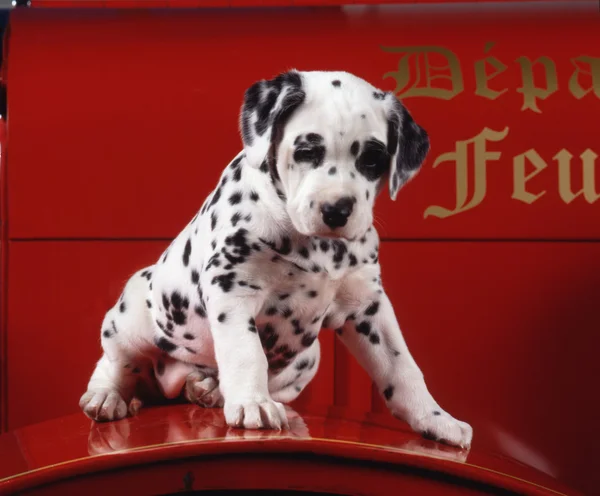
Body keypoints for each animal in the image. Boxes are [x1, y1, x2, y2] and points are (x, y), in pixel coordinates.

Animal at [79, 70, 474, 450]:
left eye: (372, 160)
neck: (318, 248)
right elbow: (246, 352)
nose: (336, 209)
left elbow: (402, 367)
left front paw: (436, 419)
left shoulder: (368, 307)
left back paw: (207, 389)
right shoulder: (232, 289)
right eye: (307, 151)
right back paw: (108, 396)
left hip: (309, 357)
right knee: (115, 363)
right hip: (130, 315)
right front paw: (252, 403)